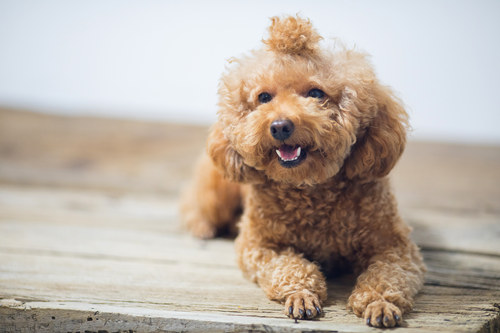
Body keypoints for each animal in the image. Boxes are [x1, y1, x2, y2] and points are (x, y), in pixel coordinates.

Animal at [180, 15, 422, 326]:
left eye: (316, 93)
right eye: (264, 97)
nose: (280, 126)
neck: (310, 189)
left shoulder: (394, 245)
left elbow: (387, 275)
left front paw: (380, 303)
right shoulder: (259, 246)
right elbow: (290, 265)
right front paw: (301, 295)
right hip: (219, 187)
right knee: (197, 202)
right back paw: (202, 226)